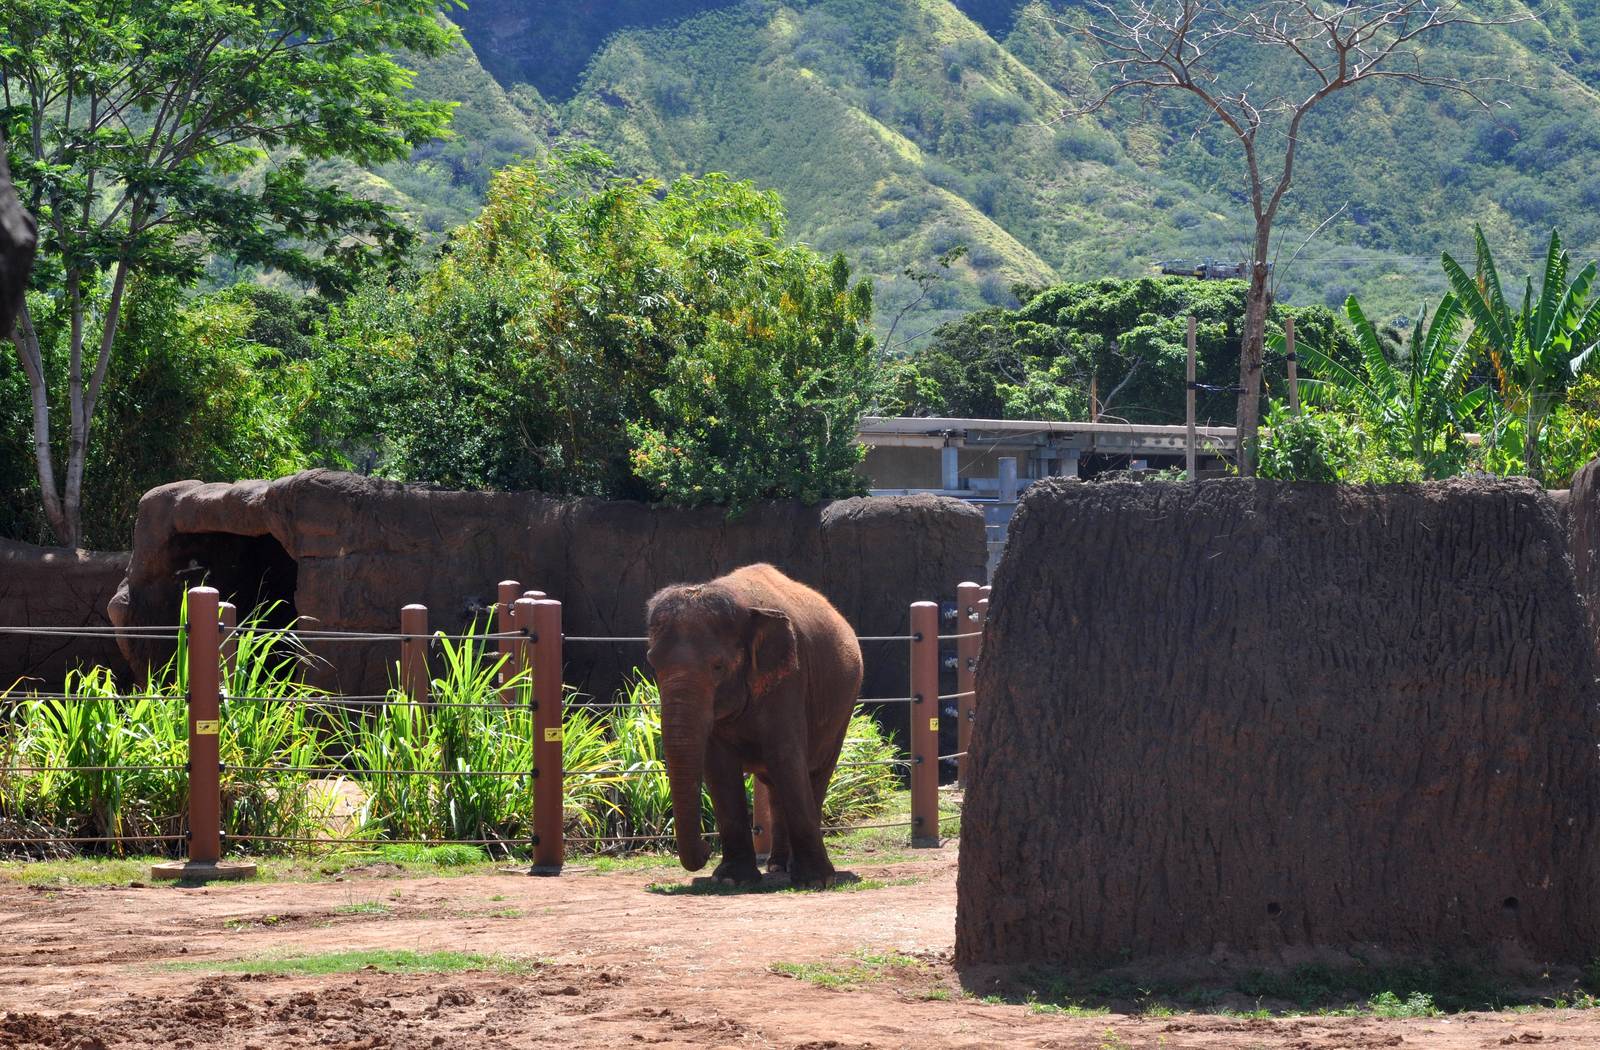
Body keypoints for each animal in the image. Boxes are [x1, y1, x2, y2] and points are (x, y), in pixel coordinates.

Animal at [646, 563, 863, 888]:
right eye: (653, 664)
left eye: (718, 666)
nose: (706, 848)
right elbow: (720, 768)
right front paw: (730, 880)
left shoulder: (790, 678)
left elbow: (786, 758)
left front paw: (815, 881)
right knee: (774, 786)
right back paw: (777, 867)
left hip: (843, 707)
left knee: (815, 773)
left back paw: (795, 869)